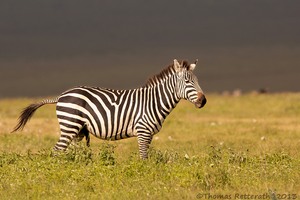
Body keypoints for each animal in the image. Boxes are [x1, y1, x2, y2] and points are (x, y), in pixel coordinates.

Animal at [13, 58, 206, 159]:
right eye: (188, 81)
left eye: (197, 81)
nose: (203, 101)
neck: (154, 101)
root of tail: (61, 96)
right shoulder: (143, 131)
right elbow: (144, 158)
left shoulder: (149, 134)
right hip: (70, 126)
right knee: (56, 151)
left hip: (78, 131)